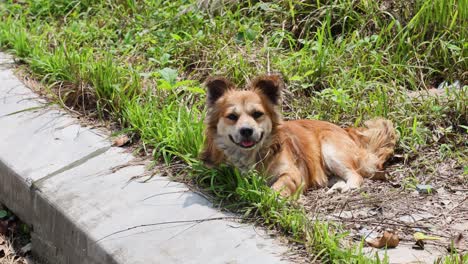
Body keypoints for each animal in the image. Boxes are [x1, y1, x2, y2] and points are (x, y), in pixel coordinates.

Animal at [199, 74, 396, 196]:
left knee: (356, 175)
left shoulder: (292, 173)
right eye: (232, 117)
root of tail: (347, 131)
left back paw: (347, 188)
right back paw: (338, 186)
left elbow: (279, 185)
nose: (246, 130)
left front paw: (268, 197)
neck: (250, 155)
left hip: (331, 149)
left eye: (257, 114)